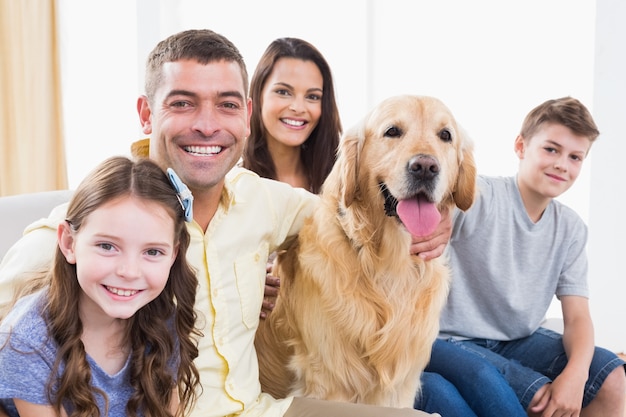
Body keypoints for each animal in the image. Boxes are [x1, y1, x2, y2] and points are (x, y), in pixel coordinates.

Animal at [254, 93, 472, 406]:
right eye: (392, 131)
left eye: (445, 135)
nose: (425, 167)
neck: (388, 264)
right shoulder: (331, 380)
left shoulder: (401, 386)